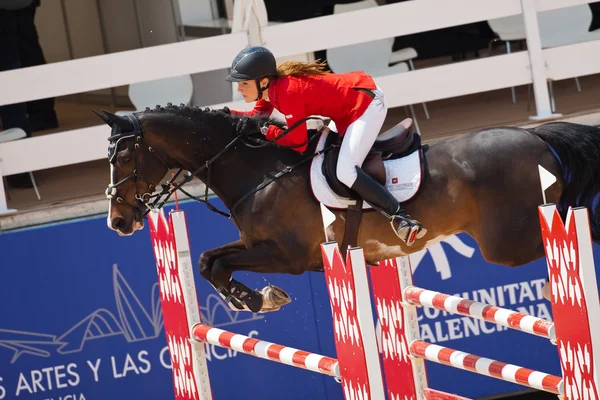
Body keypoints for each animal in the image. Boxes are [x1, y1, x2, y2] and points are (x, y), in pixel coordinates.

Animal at [96, 104, 600, 314]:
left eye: (124, 157)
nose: (118, 222)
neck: (258, 168)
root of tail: (535, 136)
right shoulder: (253, 242)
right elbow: (207, 261)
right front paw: (255, 300)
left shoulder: (290, 256)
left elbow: (218, 265)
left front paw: (258, 298)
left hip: (511, 242)